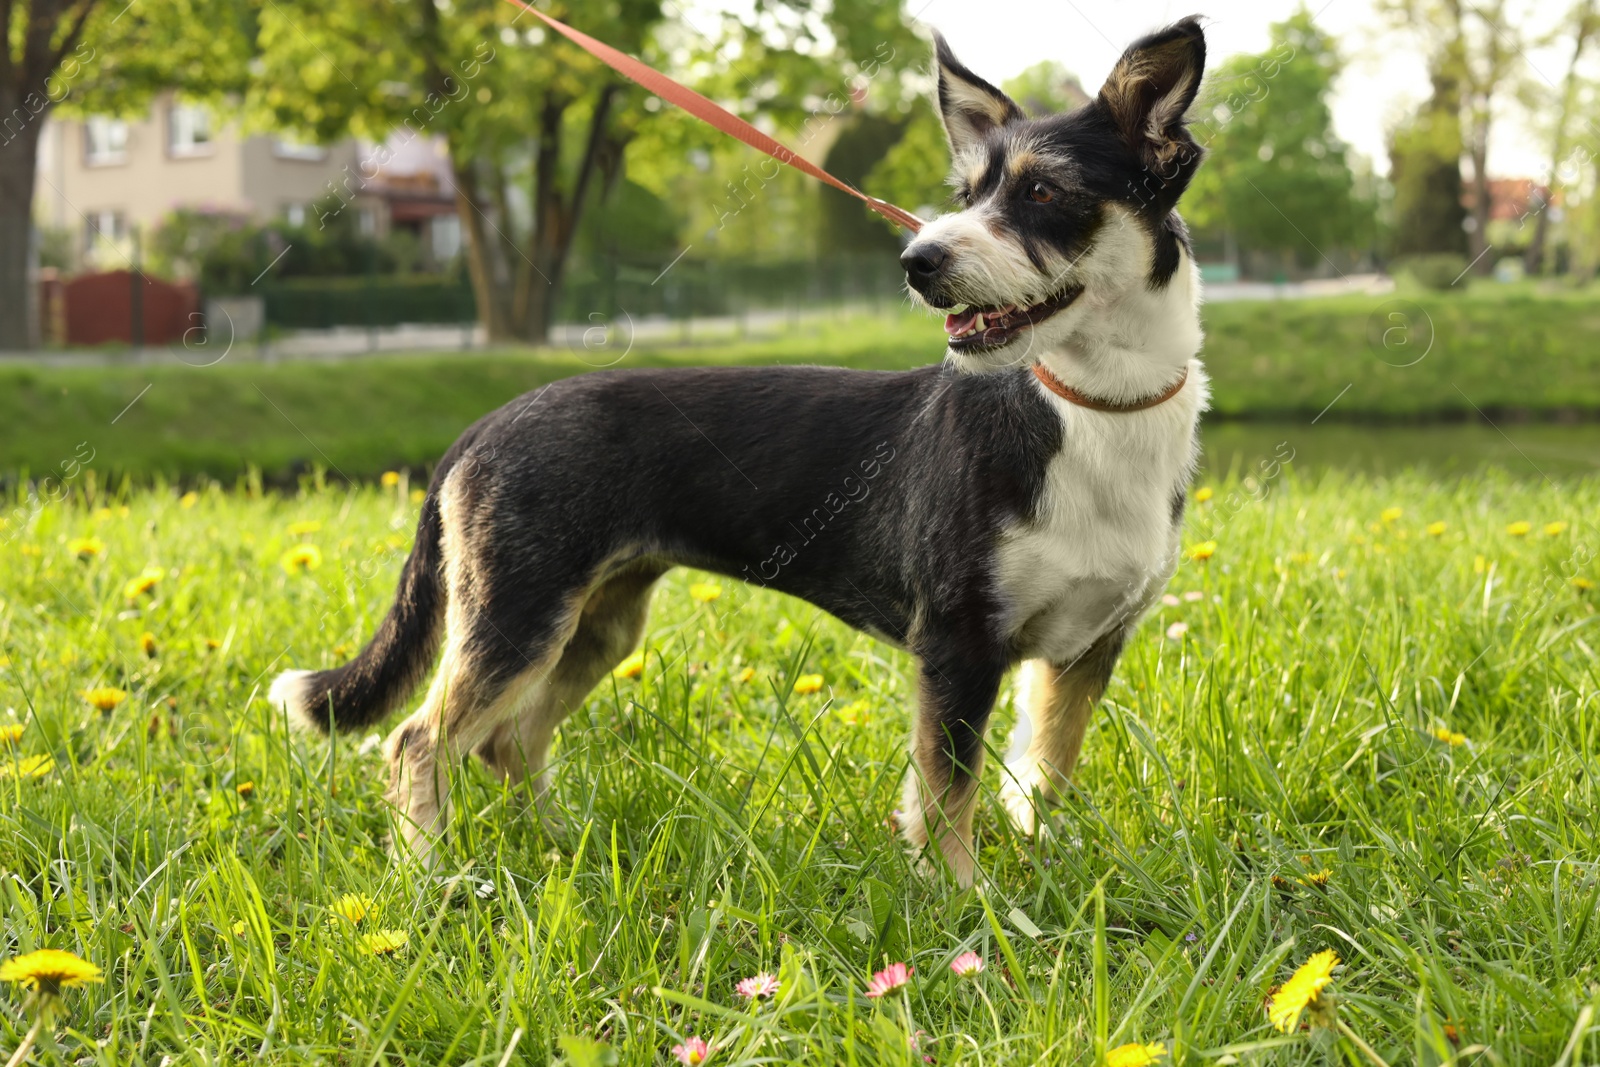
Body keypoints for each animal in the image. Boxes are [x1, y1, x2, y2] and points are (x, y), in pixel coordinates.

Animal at [268, 16, 1209, 889]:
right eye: (967, 191)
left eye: (1045, 190)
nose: (918, 259)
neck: (1090, 409)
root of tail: (486, 423)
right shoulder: (957, 643)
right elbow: (948, 792)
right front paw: (960, 900)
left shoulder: (1082, 652)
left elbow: (1044, 774)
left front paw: (1045, 868)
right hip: (515, 617)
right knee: (418, 740)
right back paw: (429, 874)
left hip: (597, 622)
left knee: (508, 739)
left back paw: (562, 848)